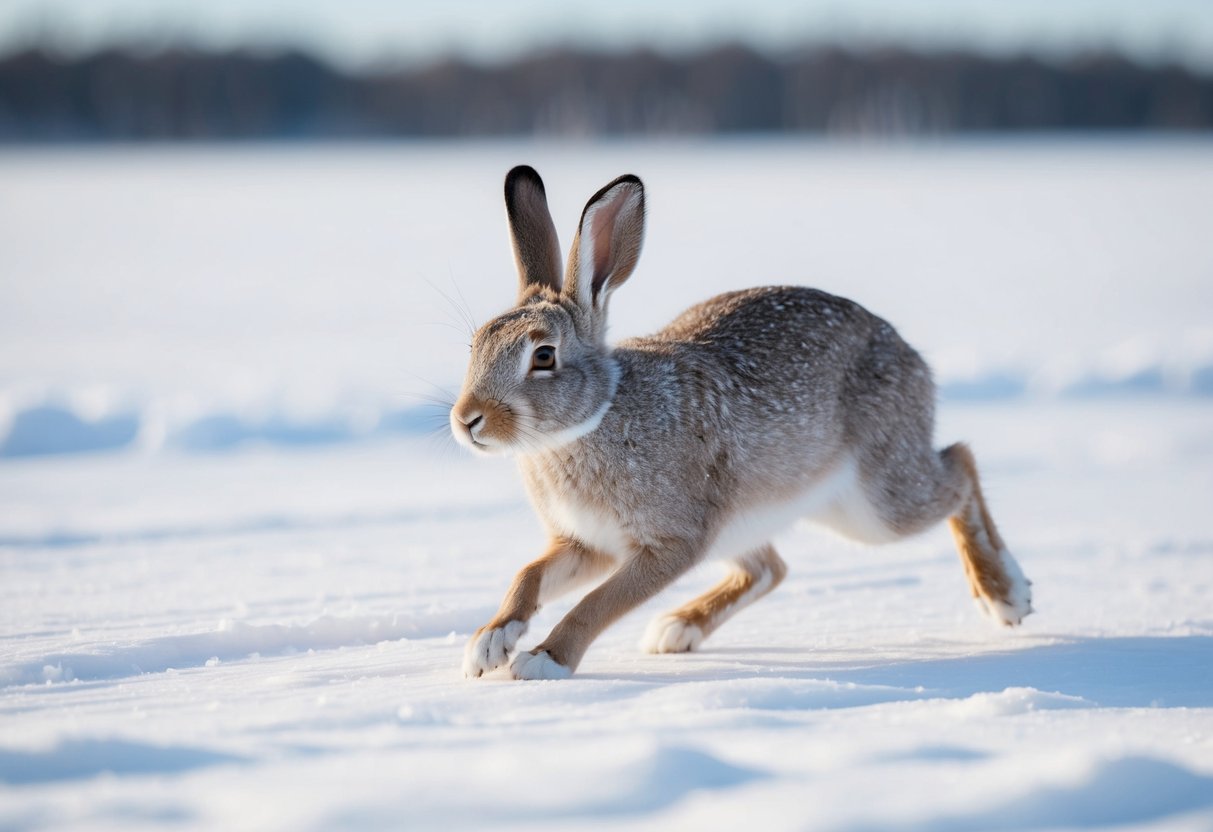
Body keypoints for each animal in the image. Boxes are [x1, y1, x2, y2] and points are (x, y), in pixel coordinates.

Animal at [451, 165, 1032, 680]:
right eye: (477, 344)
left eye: (544, 356)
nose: (466, 420)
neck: (593, 417)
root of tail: (910, 356)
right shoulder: (586, 544)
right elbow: (528, 575)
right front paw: (489, 642)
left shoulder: (671, 542)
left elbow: (598, 603)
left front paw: (543, 661)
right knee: (770, 567)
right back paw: (677, 628)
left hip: (875, 504)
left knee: (958, 466)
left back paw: (1005, 594)